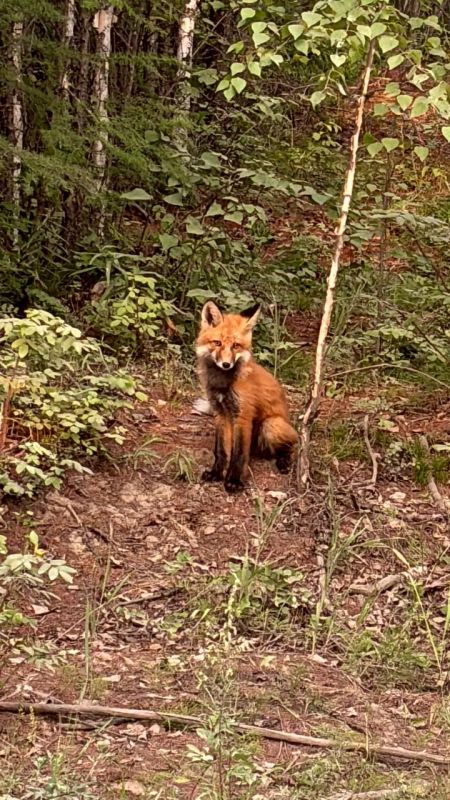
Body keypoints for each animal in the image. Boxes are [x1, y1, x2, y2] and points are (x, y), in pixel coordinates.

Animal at [197, 302, 298, 494]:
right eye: (217, 343)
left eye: (236, 345)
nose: (226, 364)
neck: (223, 383)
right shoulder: (220, 413)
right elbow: (221, 451)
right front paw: (216, 474)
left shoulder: (243, 415)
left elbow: (239, 455)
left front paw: (234, 481)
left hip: (271, 425)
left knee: (293, 445)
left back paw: (284, 461)